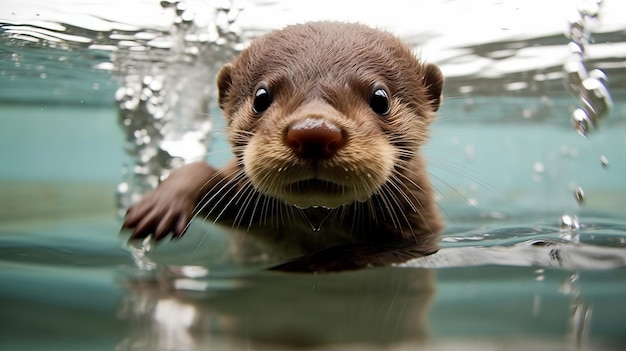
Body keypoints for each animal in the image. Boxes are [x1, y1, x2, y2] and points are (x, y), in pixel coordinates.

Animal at [122, 21, 444, 272]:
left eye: (380, 98)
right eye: (261, 97)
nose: (314, 132)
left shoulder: (422, 227)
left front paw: (315, 262)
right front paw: (164, 202)